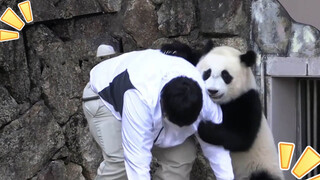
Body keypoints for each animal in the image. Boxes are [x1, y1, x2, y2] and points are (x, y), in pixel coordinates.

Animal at [161, 41, 284, 180]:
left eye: (226, 75)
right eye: (207, 73)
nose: (212, 91)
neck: (221, 102)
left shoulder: (246, 100)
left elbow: (241, 138)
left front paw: (204, 127)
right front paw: (172, 50)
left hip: (260, 166)